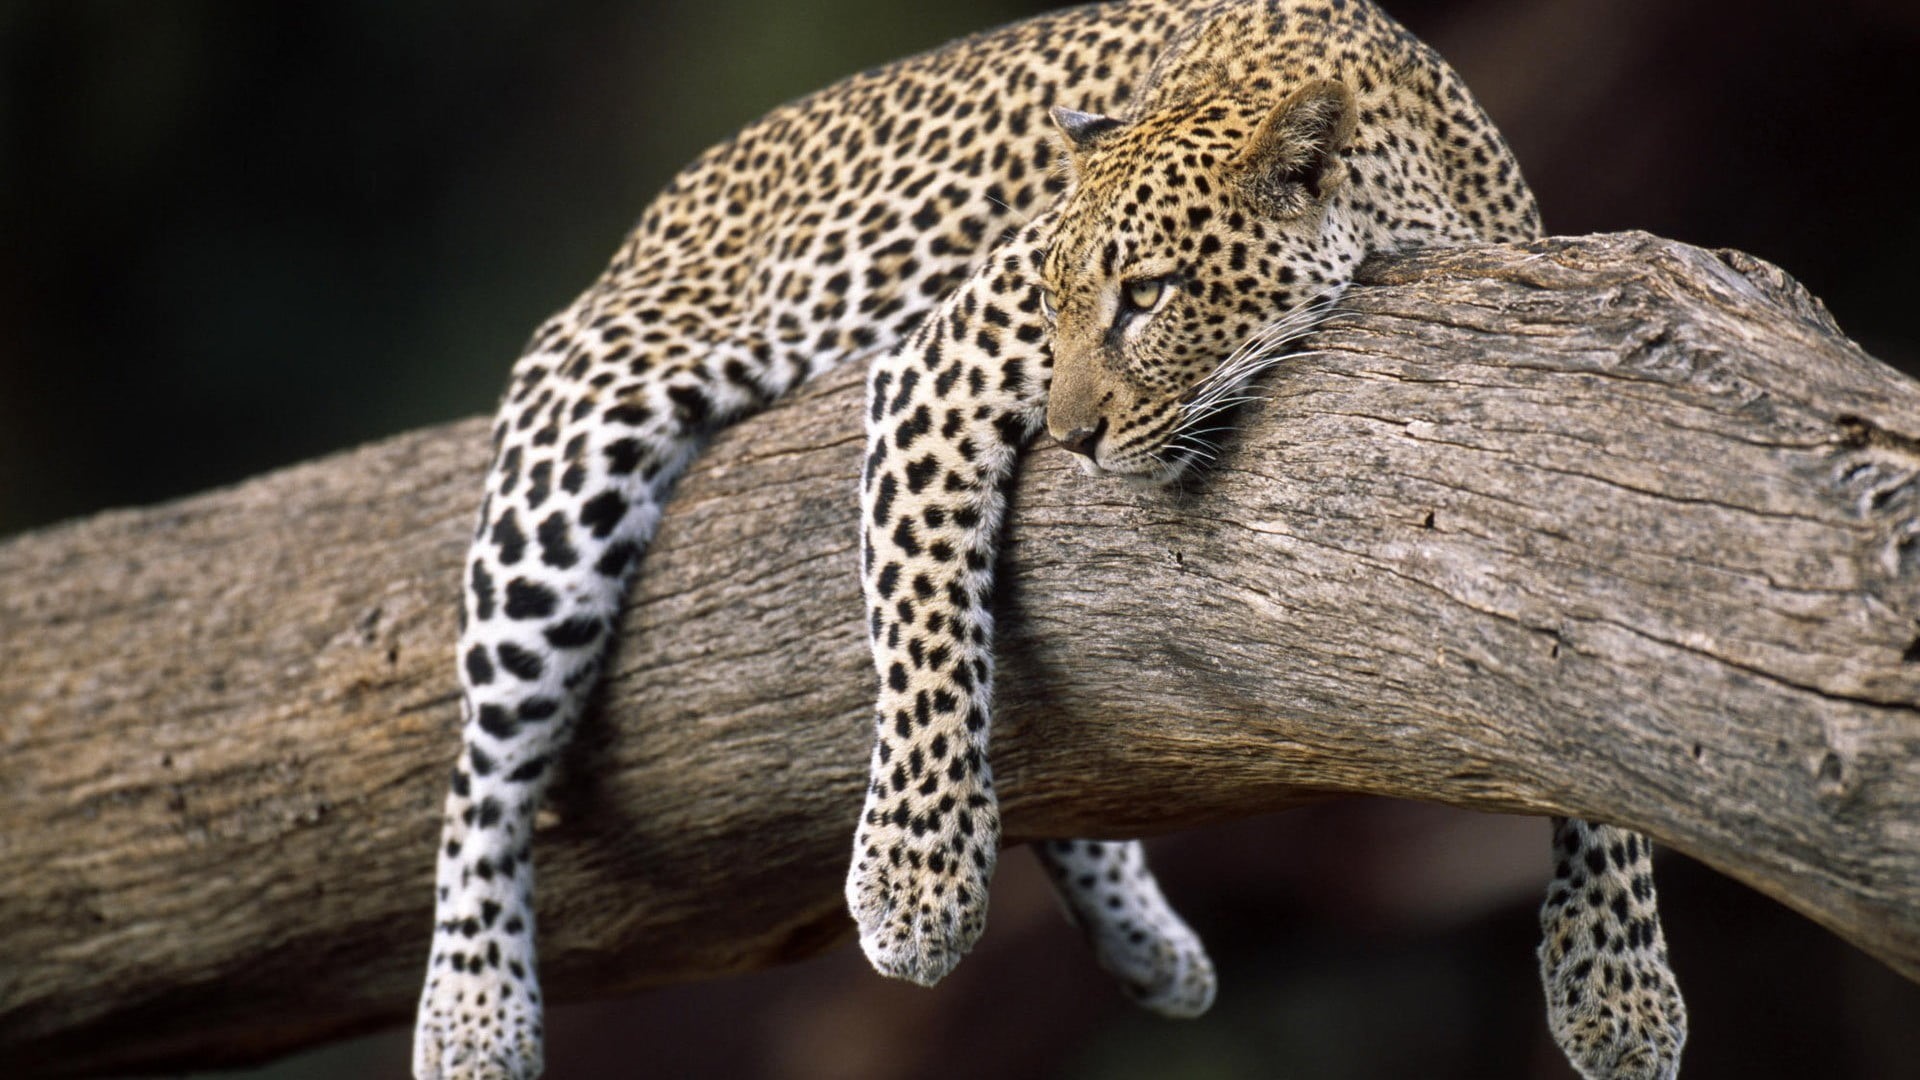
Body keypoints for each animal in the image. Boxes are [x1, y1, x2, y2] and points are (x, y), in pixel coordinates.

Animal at [413, 2, 1688, 1078]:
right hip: (576, 455)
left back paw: (1147, 942)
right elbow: (927, 620)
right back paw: (471, 1016)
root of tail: (664, 206)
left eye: (1150, 297)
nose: (1072, 438)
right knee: (485, 769)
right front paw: (915, 882)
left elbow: (1595, 712)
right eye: (1052, 300)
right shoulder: (936, 365)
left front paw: (1617, 985)